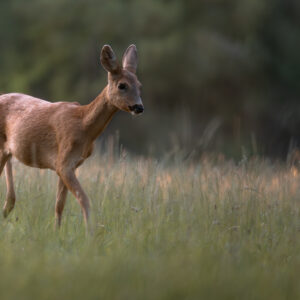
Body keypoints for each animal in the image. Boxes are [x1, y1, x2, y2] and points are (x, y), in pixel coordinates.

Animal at [0, 44, 144, 227]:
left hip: (7, 150)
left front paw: (57, 231)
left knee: (10, 191)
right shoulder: (64, 162)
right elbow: (84, 200)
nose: (139, 107)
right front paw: (90, 231)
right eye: (122, 85)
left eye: (140, 85)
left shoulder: (69, 165)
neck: (84, 126)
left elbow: (59, 205)